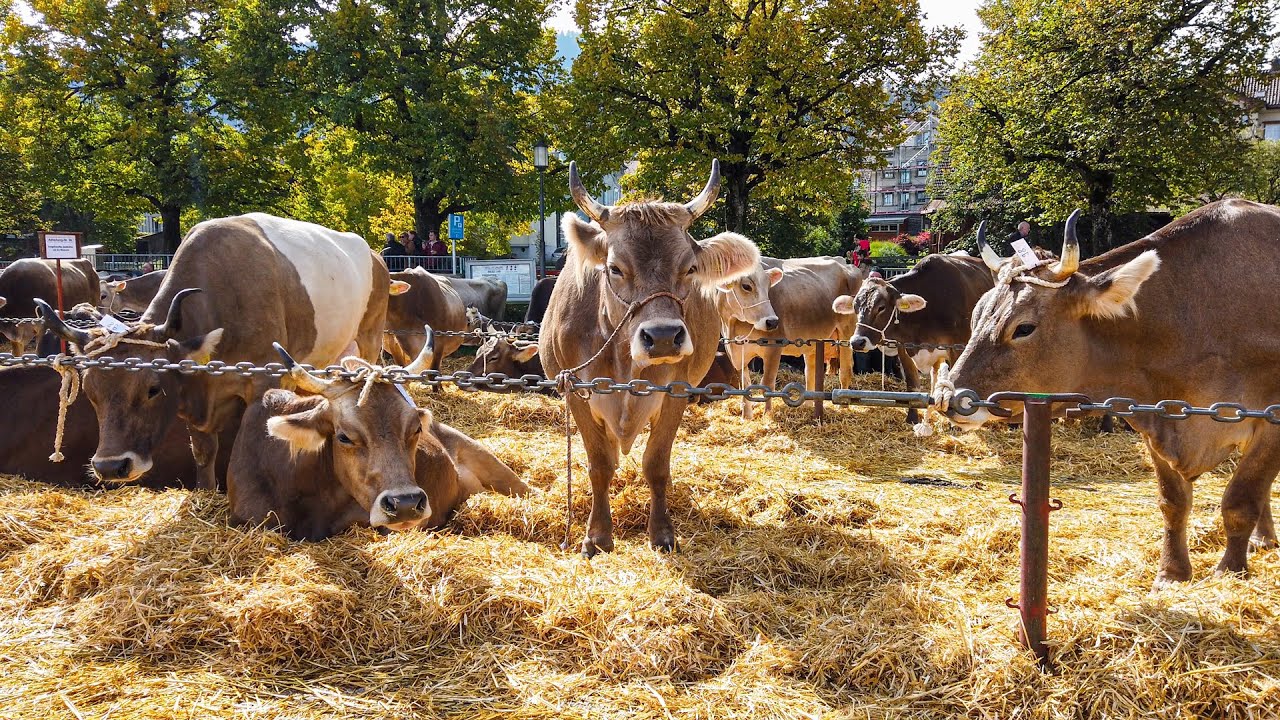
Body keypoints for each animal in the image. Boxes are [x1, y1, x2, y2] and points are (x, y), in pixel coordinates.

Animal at [40, 212, 393, 491]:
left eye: (153, 388)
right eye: (90, 392)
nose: (111, 467)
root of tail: (373, 255)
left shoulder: (265, 379)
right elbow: (203, 450)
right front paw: (206, 492)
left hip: (370, 336)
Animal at [540, 160, 760, 555]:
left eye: (689, 268)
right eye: (614, 268)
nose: (662, 337)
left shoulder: (676, 392)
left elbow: (656, 463)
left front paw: (661, 532)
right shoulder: (576, 392)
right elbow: (600, 464)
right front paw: (597, 536)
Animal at [716, 256, 864, 418]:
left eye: (769, 286)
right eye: (746, 286)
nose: (772, 322)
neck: (734, 324)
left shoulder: (774, 346)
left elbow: (767, 383)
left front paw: (767, 415)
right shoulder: (733, 350)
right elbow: (744, 384)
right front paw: (746, 417)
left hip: (846, 334)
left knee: (845, 370)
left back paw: (842, 406)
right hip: (813, 341)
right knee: (810, 372)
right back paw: (807, 405)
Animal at [831, 248, 994, 424]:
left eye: (881, 307)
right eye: (855, 307)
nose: (857, 342)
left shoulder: (958, 347)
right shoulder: (905, 347)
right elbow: (912, 385)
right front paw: (912, 418)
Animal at [938, 201, 1280, 586]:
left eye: (1023, 328)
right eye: (976, 316)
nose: (950, 398)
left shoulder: (1271, 421)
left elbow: (1240, 500)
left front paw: (1229, 573)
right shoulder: (1155, 414)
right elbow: (1172, 502)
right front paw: (1172, 573)